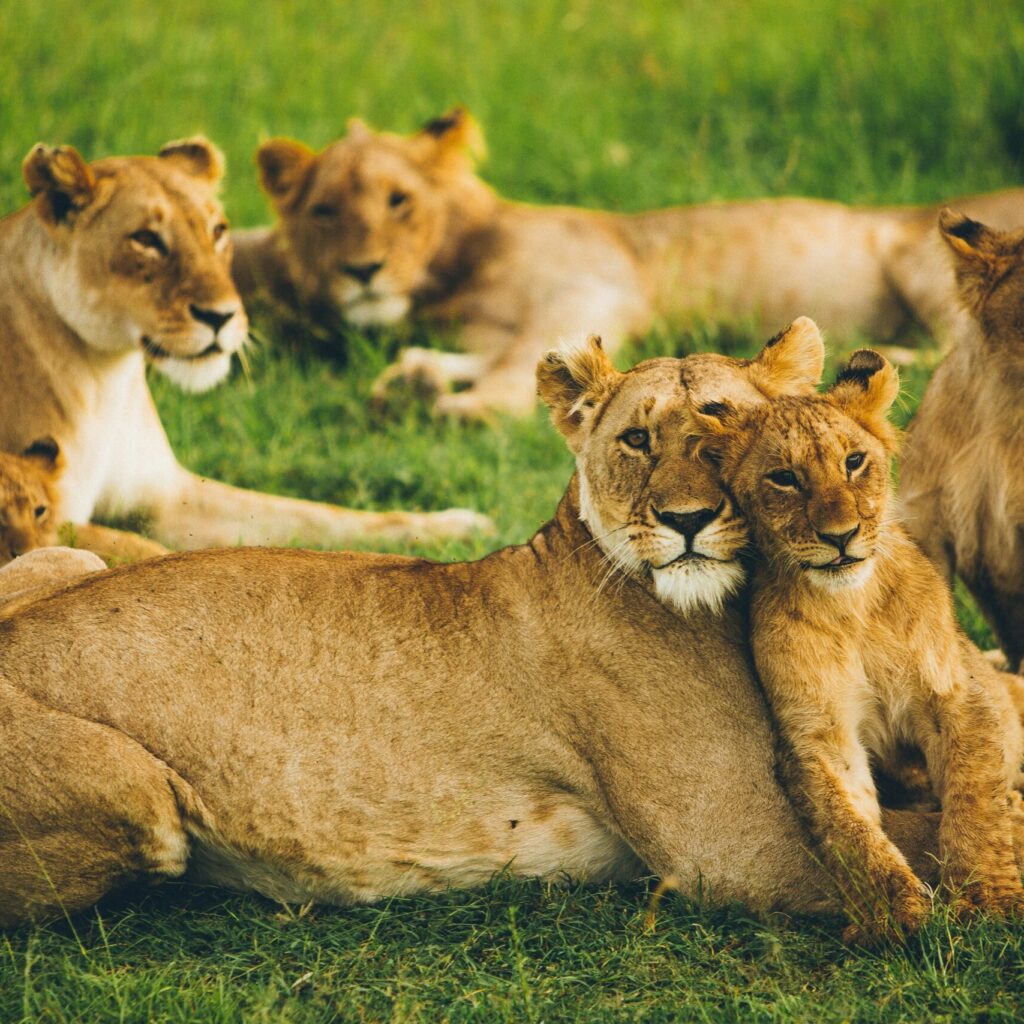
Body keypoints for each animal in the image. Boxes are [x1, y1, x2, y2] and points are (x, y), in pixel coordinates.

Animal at [0, 138, 491, 551]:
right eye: (146, 239)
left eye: (217, 230)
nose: (221, 317)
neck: (106, 376)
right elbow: (139, 553)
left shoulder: (165, 496)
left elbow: (317, 514)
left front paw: (458, 526)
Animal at [0, 323, 941, 928]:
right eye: (637, 440)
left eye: (727, 435)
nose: (686, 520)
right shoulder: (733, 845)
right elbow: (928, 846)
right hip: (139, 791)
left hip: (68, 558)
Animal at [231, 107, 1024, 420]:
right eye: (323, 211)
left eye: (398, 201)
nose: (361, 271)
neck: (453, 272)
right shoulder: (492, 325)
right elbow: (507, 354)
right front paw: (415, 378)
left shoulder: (592, 287)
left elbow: (522, 359)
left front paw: (469, 408)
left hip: (920, 254)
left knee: (959, 348)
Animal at [690, 341, 1024, 944]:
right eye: (784, 478)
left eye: (854, 462)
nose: (840, 536)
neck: (852, 609)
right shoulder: (816, 732)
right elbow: (848, 828)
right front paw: (893, 915)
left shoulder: (956, 696)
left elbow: (973, 797)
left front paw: (987, 897)